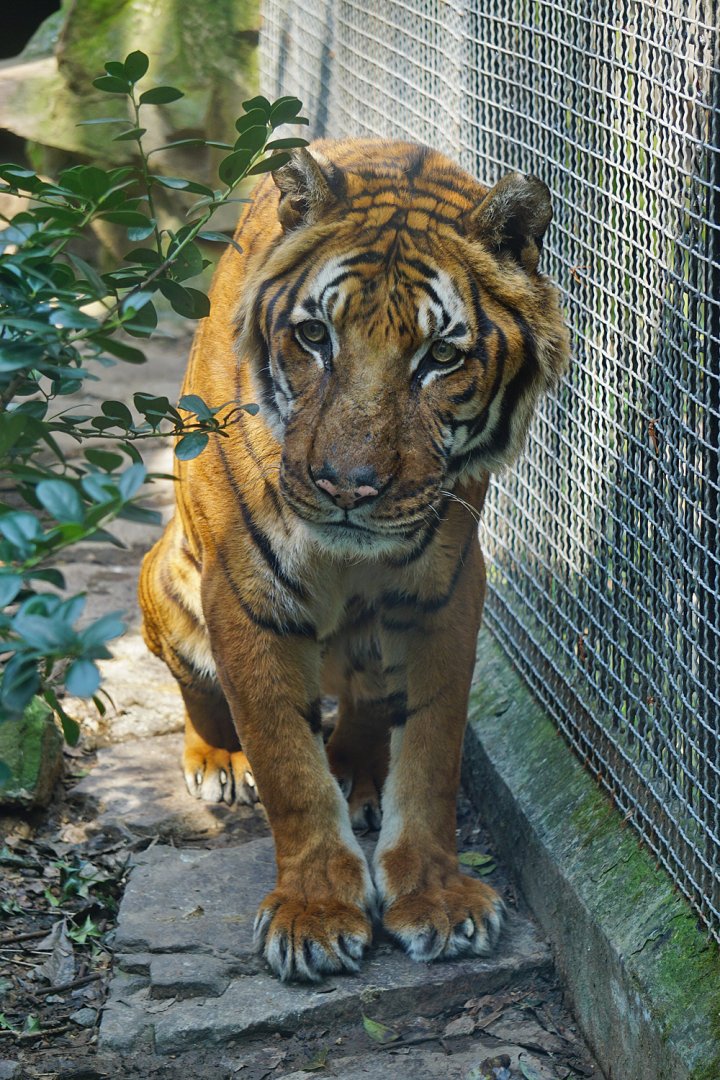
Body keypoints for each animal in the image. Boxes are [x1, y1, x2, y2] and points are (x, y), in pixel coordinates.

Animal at [138, 138, 569, 983]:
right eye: (314, 338)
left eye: (442, 356)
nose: (347, 486)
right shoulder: (245, 591)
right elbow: (286, 762)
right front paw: (313, 912)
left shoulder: (446, 587)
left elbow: (432, 751)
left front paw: (435, 895)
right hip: (168, 576)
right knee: (197, 688)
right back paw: (218, 759)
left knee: (369, 699)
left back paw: (358, 769)